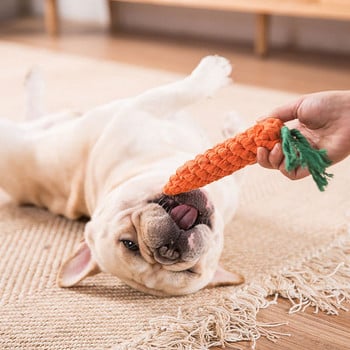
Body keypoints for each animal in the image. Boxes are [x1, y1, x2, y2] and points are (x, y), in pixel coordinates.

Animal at [0, 55, 243, 296]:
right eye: (129, 244)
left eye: (190, 272)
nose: (168, 251)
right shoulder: (141, 109)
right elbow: (182, 91)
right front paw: (213, 71)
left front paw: (234, 128)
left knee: (39, 115)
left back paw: (34, 80)